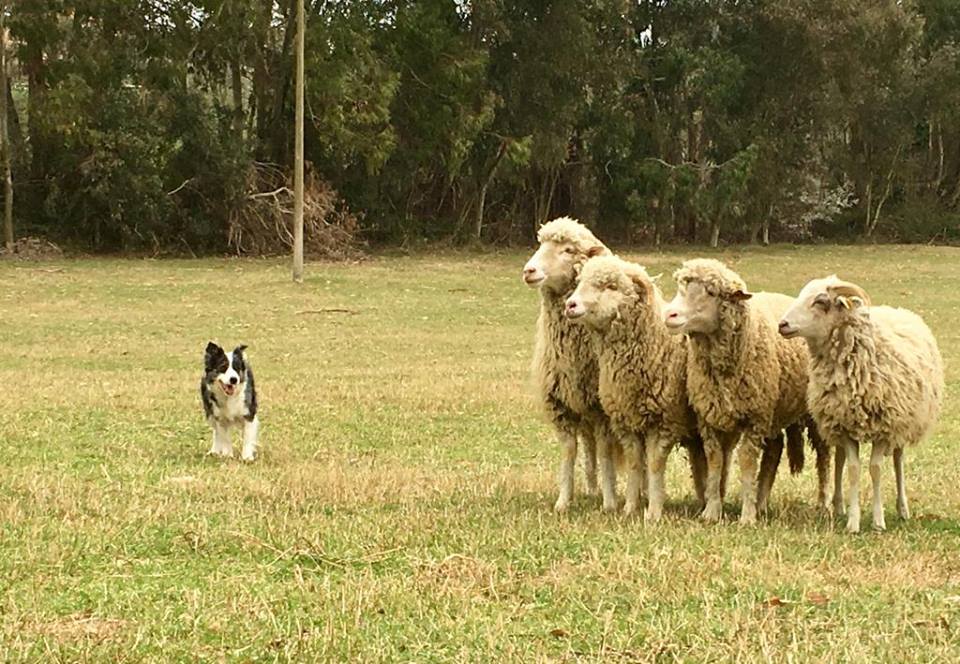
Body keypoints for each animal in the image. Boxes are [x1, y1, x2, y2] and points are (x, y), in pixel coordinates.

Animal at [524, 218, 624, 512]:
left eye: (568, 250)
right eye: (540, 244)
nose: (529, 270)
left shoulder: (603, 411)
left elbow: (606, 453)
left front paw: (610, 502)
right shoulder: (561, 405)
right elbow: (569, 452)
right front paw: (563, 501)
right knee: (588, 446)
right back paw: (591, 487)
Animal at [564, 254, 704, 520]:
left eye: (610, 286)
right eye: (580, 281)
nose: (571, 305)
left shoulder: (664, 422)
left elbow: (655, 465)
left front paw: (654, 512)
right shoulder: (625, 421)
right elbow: (634, 464)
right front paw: (630, 508)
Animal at [668, 260, 816, 524]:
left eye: (711, 292)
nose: (669, 314)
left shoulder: (754, 418)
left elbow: (747, 463)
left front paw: (747, 516)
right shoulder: (709, 419)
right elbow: (715, 463)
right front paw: (712, 512)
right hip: (772, 412)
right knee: (774, 450)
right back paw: (762, 502)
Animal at [776, 278, 940, 532]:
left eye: (820, 301)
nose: (782, 324)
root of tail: (899, 310)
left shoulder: (885, 428)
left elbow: (875, 469)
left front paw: (878, 521)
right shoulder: (844, 426)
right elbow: (853, 469)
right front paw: (853, 522)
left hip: (903, 423)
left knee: (898, 460)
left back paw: (903, 509)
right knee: (840, 460)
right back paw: (838, 506)